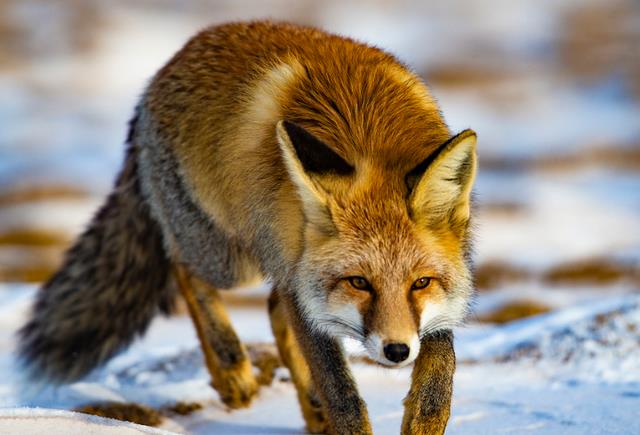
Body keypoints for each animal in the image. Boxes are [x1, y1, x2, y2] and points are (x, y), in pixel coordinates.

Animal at [16, 20, 476, 435]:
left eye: (421, 283)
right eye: (358, 282)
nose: (397, 351)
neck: (368, 132)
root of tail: (166, 67)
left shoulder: (433, 293)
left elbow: (437, 380)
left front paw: (423, 416)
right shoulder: (301, 283)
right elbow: (343, 397)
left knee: (272, 308)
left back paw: (308, 409)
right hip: (232, 261)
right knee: (183, 267)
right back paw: (230, 370)